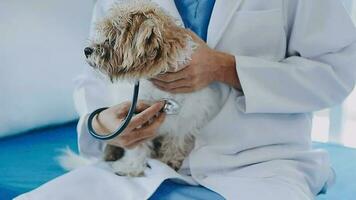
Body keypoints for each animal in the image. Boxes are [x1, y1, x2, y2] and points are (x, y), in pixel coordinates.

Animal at [60, 0, 222, 177]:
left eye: (112, 37)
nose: (87, 50)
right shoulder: (135, 120)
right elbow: (137, 147)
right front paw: (132, 167)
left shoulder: (187, 118)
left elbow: (176, 140)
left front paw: (170, 160)